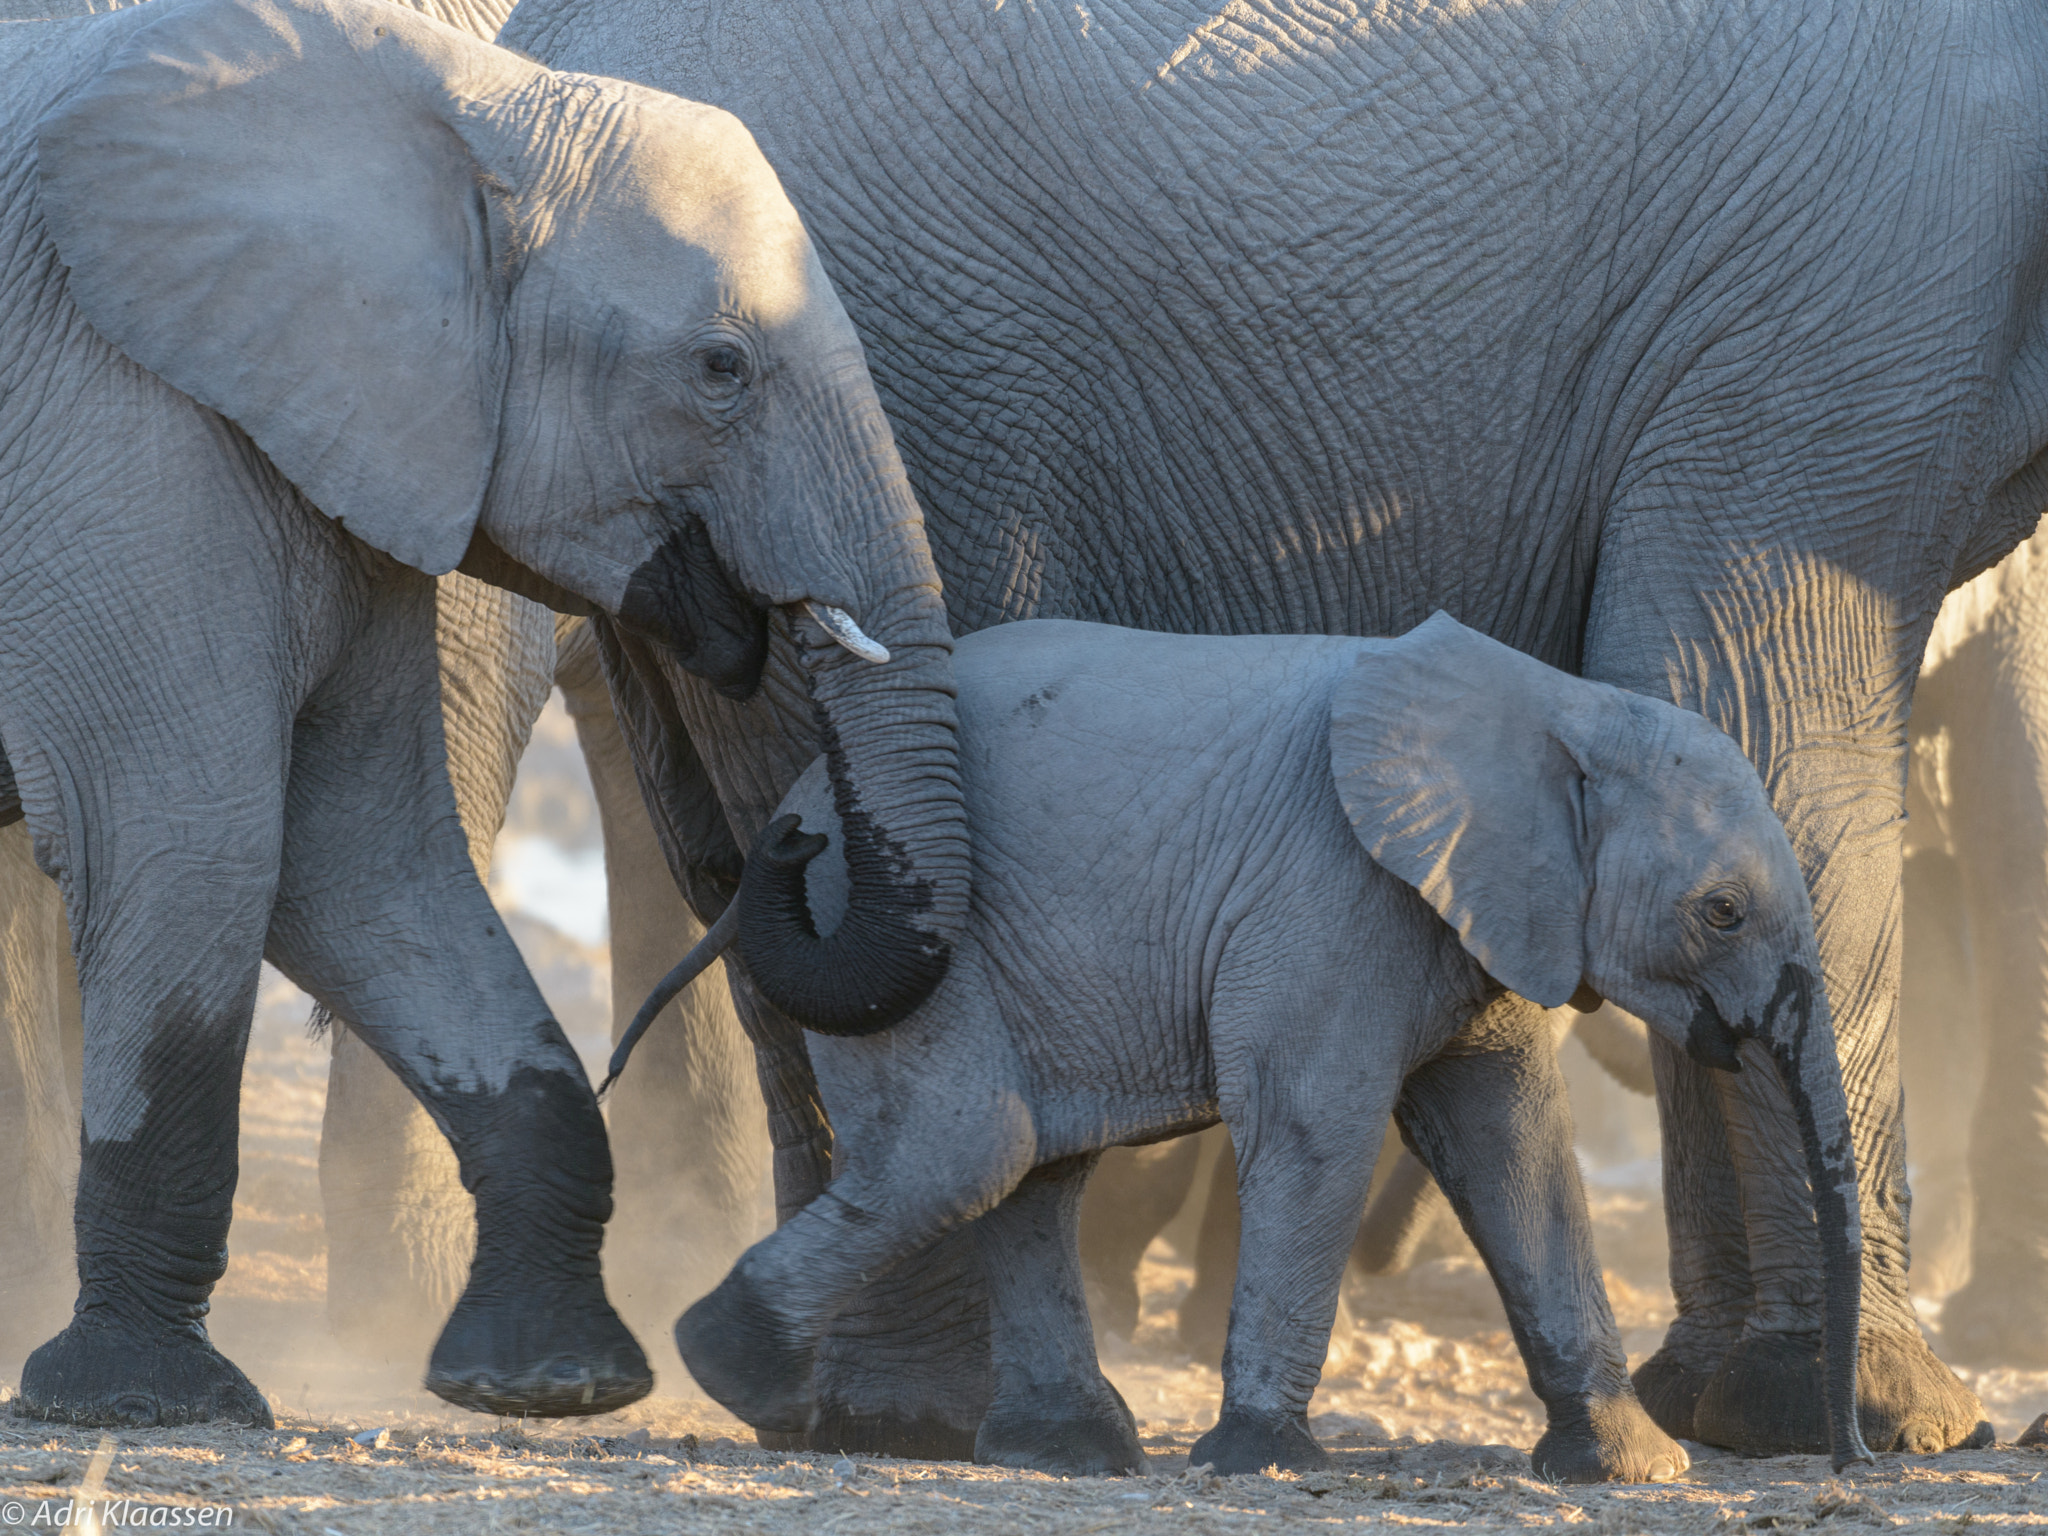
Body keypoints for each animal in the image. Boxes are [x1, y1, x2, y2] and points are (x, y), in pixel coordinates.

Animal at [655, 610, 1875, 1482]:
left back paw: (1071, 1455)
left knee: (1025, 1171)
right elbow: (1315, 1126)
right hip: (890, 925)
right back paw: (726, 1368)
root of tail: (797, 808)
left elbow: (1514, 1147)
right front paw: (1261, 1461)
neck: (1557, 704)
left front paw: (1634, 1467)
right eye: (1721, 913)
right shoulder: (1329, 890)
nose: (1849, 1459)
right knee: (966, 1149)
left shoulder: (1475, 913)